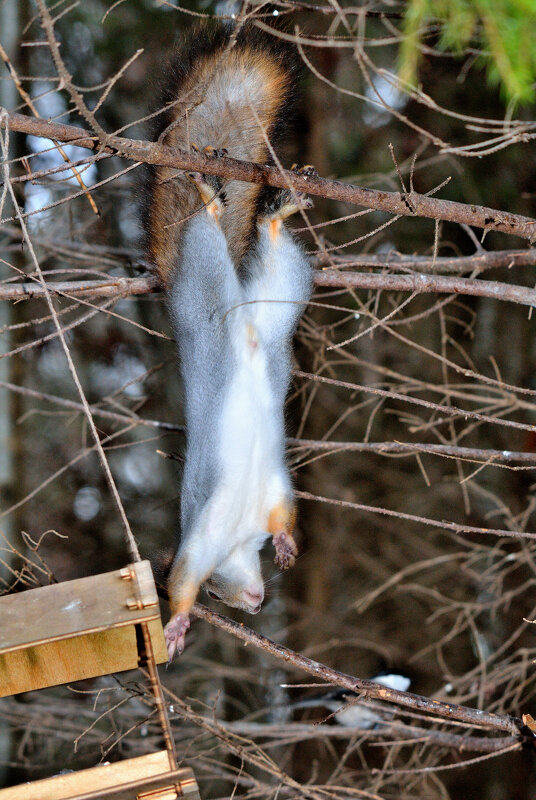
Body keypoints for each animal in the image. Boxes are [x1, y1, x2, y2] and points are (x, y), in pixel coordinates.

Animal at [142, 23, 314, 664]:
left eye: (219, 593)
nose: (254, 605)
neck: (240, 535)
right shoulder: (264, 497)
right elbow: (285, 510)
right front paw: (287, 545)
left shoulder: (205, 531)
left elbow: (183, 573)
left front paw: (176, 619)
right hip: (282, 297)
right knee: (278, 261)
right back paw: (273, 220)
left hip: (202, 277)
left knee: (205, 232)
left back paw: (212, 202)